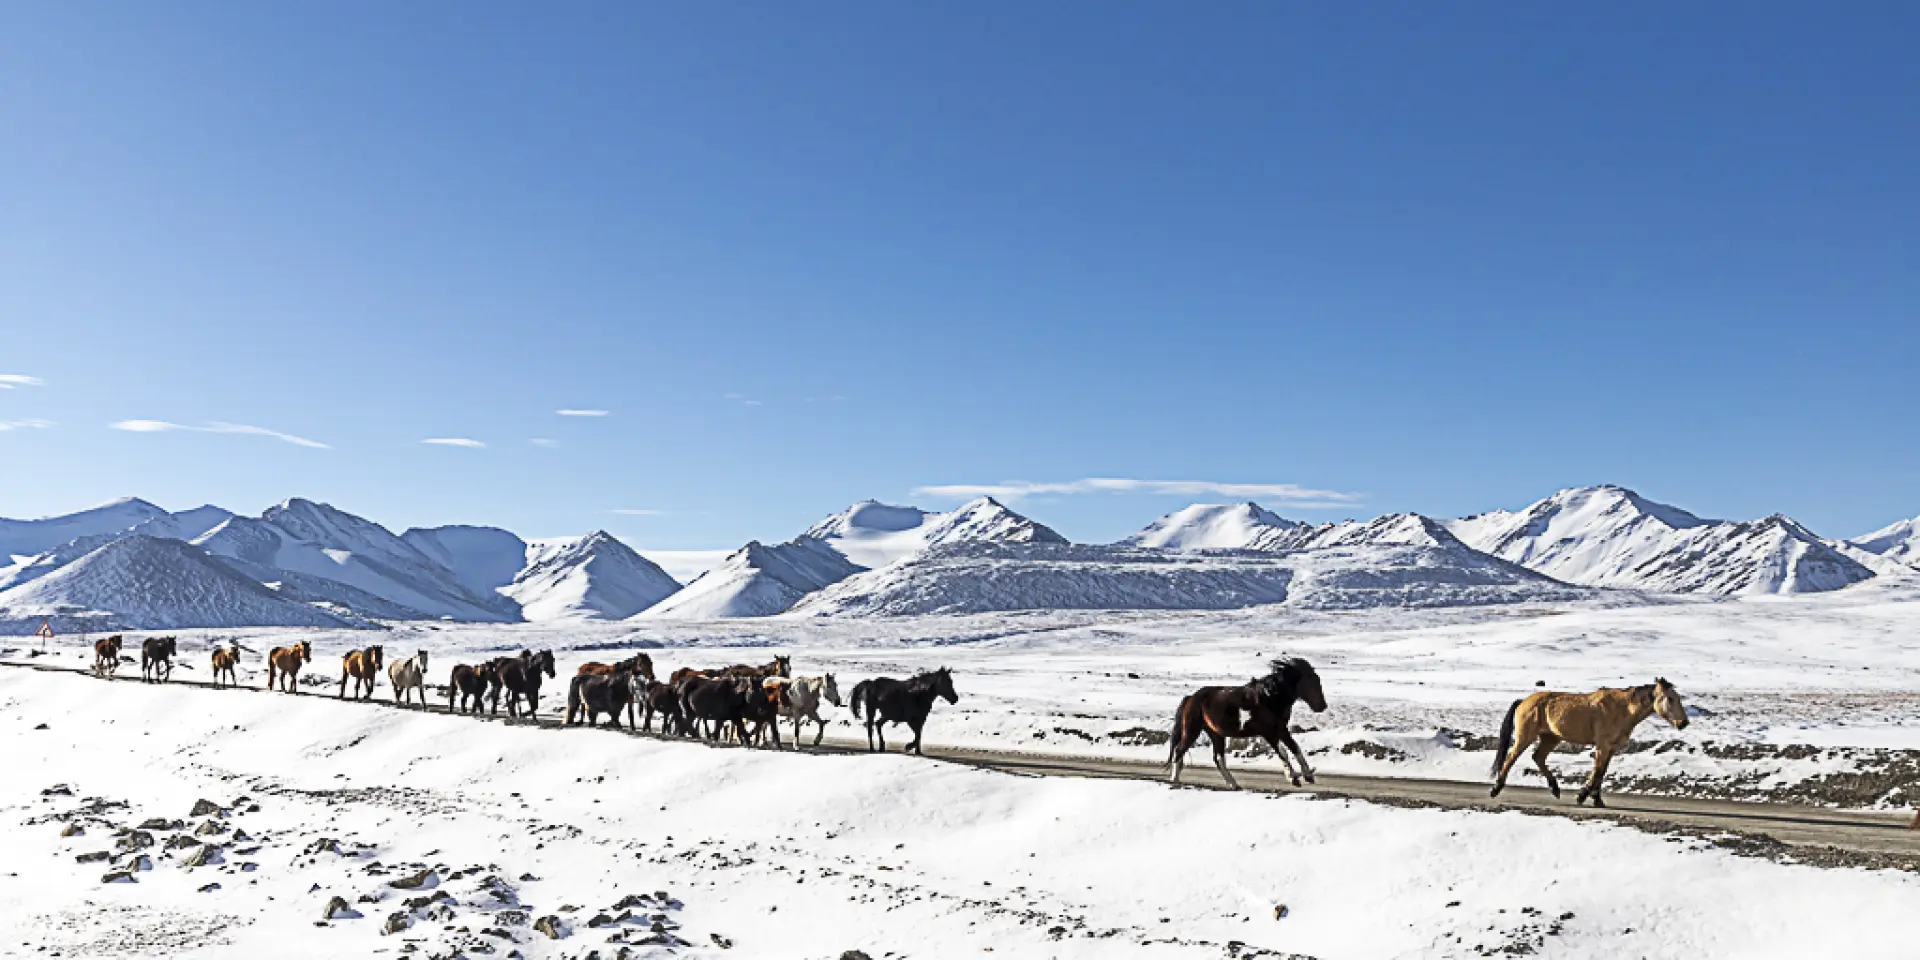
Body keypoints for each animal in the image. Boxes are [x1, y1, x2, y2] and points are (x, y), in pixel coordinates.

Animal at [1168, 658, 1328, 789]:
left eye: (1317, 679)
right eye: (1309, 680)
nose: (1322, 706)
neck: (1269, 698)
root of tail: (1191, 698)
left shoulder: (1281, 729)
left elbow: (1295, 748)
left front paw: (1308, 776)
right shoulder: (1268, 732)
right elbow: (1283, 752)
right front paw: (1293, 778)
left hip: (1216, 734)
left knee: (1218, 759)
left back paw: (1234, 784)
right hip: (1192, 730)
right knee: (1179, 751)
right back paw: (1175, 780)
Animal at [1489, 678, 1690, 808]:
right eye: (1670, 698)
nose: (1684, 723)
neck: (1621, 709)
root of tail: (1523, 701)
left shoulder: (1611, 749)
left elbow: (1601, 773)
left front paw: (1597, 799)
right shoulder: (1603, 745)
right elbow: (1597, 771)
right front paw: (1582, 796)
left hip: (1551, 737)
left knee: (1538, 757)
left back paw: (1555, 789)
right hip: (1525, 737)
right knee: (1511, 758)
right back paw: (1495, 789)